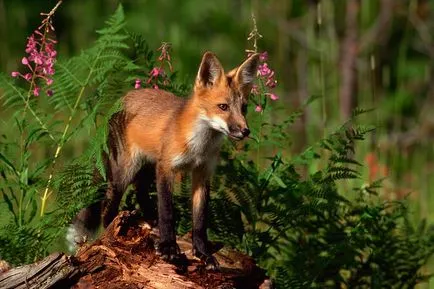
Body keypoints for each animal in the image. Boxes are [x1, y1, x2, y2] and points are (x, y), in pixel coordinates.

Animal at [68, 51, 258, 268]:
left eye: (244, 108)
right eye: (223, 107)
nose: (245, 131)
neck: (199, 147)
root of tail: (122, 98)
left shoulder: (202, 173)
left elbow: (200, 221)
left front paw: (202, 253)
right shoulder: (167, 167)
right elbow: (167, 212)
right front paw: (168, 248)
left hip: (148, 167)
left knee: (140, 190)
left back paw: (150, 221)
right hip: (125, 172)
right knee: (108, 205)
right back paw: (115, 227)